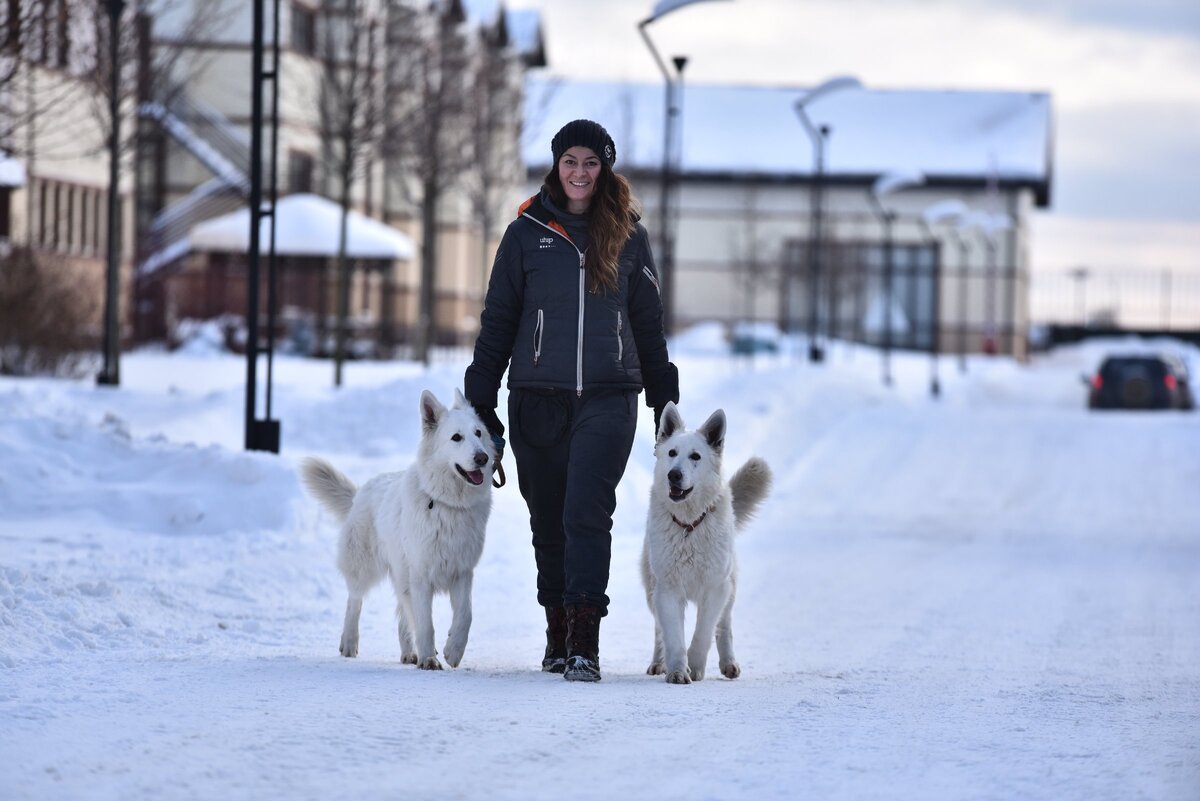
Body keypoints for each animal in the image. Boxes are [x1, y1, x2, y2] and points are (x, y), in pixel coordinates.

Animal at [302, 388, 494, 671]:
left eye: (478, 433)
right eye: (456, 437)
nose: (483, 458)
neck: (447, 504)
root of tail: (359, 494)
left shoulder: (462, 572)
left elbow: (465, 616)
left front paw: (453, 651)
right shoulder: (421, 576)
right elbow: (425, 624)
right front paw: (429, 658)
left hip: (402, 573)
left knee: (402, 612)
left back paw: (409, 652)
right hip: (365, 566)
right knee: (354, 600)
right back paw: (349, 642)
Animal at [643, 402, 772, 685]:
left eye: (695, 456)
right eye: (672, 452)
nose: (673, 475)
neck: (689, 525)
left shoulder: (716, 588)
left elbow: (703, 632)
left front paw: (695, 666)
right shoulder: (668, 589)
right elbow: (673, 636)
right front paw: (678, 671)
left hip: (730, 587)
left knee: (724, 626)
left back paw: (729, 663)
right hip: (651, 589)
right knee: (658, 631)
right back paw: (659, 663)